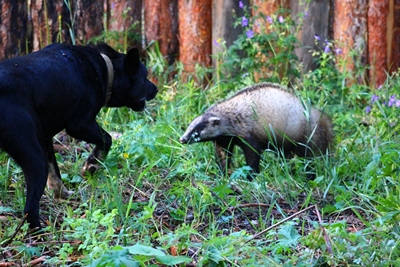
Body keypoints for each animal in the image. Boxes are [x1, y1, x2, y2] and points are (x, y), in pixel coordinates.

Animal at [0, 44, 158, 230]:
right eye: (144, 76)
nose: (156, 89)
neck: (107, 68)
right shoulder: (80, 125)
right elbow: (107, 139)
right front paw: (91, 165)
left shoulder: (45, 138)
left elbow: (55, 171)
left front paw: (62, 193)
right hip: (33, 156)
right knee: (30, 208)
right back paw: (42, 230)